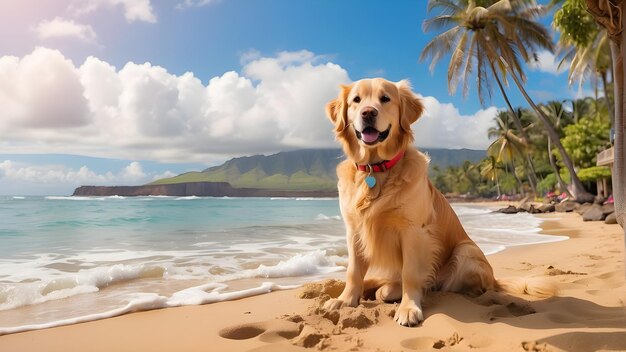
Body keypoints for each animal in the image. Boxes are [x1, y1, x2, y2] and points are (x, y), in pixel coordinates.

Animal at [322, 77, 552, 328]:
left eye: (385, 98)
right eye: (356, 100)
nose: (368, 113)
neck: (376, 169)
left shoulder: (413, 230)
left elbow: (410, 274)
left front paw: (408, 308)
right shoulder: (353, 229)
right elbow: (353, 271)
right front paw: (345, 300)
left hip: (466, 251)